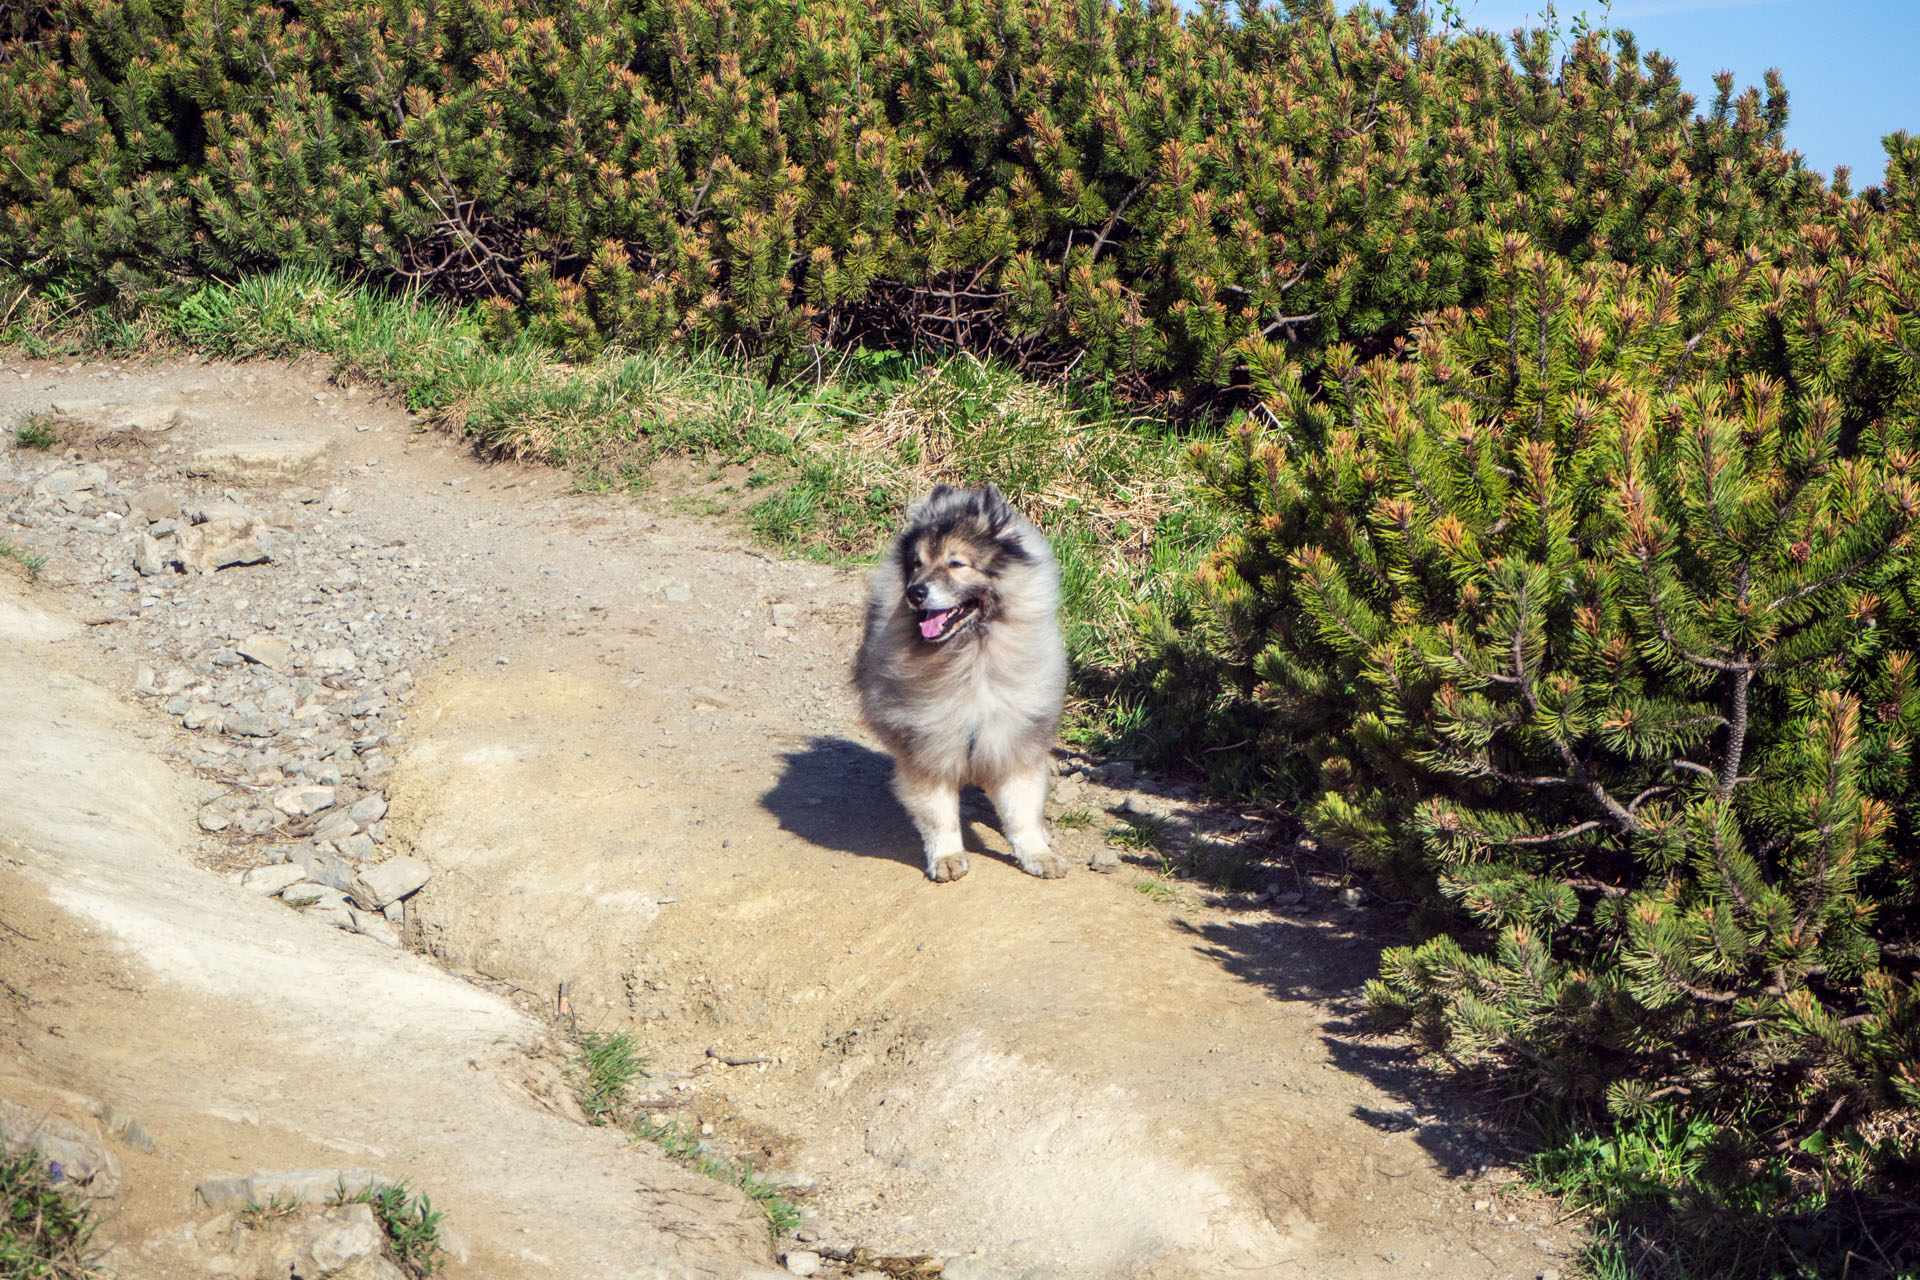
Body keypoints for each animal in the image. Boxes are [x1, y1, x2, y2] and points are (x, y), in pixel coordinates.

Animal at [852, 479, 1067, 882]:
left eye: (956, 564)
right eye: (917, 564)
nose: (915, 592)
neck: (970, 658)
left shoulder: (1013, 741)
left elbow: (1022, 814)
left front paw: (1038, 855)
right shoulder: (928, 748)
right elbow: (940, 816)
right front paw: (947, 858)